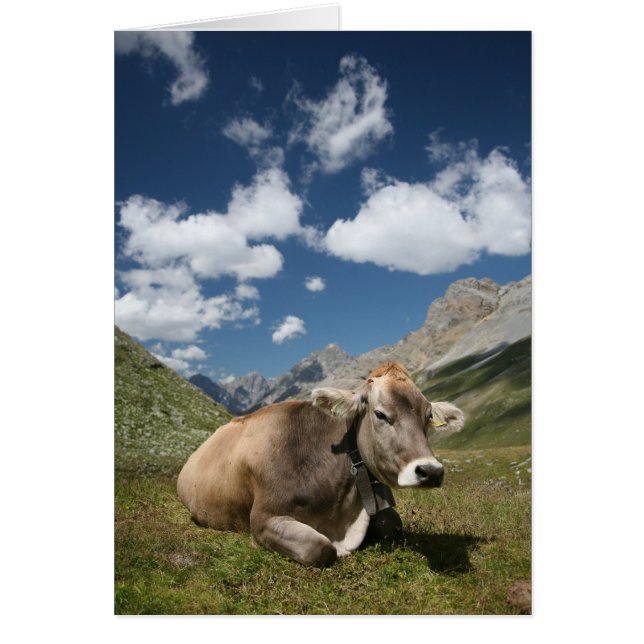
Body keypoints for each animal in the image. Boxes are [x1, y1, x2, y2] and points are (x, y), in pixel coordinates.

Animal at [177, 362, 464, 567]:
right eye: (380, 414)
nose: (430, 471)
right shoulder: (263, 519)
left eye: (427, 417)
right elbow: (321, 549)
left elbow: (392, 524)